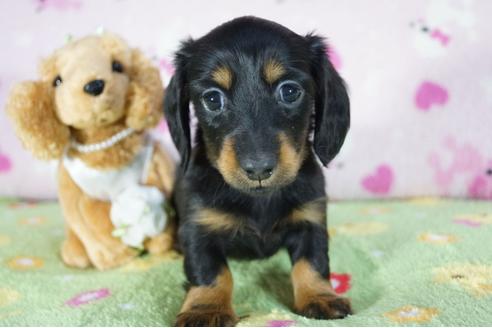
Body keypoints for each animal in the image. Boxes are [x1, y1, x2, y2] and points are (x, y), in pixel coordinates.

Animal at [165, 16, 350, 326]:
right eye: (212, 99)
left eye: (289, 91)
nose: (259, 168)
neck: (258, 198)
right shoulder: (199, 226)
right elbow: (211, 271)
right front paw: (206, 308)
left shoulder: (311, 218)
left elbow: (312, 262)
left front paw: (320, 296)